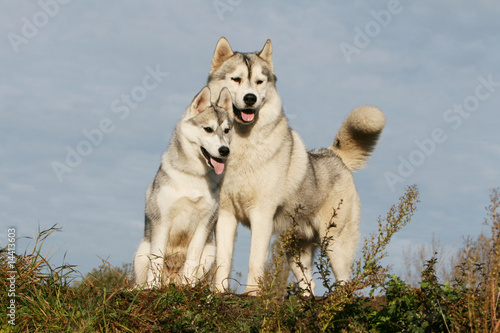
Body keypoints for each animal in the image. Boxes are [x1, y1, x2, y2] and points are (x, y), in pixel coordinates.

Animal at [133, 85, 234, 286]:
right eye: (208, 129)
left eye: (226, 130)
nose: (224, 150)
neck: (193, 176)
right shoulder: (162, 222)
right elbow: (156, 260)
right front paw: (153, 287)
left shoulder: (204, 224)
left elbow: (192, 261)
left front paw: (188, 285)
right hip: (141, 252)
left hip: (210, 253)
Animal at [205, 37, 384, 294]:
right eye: (236, 79)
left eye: (259, 82)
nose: (250, 98)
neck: (241, 146)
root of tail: (333, 154)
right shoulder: (226, 215)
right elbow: (223, 259)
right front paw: (218, 293)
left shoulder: (261, 214)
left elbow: (254, 260)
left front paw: (251, 293)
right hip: (296, 251)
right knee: (309, 284)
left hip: (336, 243)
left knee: (345, 281)